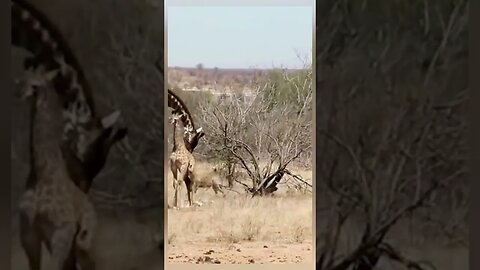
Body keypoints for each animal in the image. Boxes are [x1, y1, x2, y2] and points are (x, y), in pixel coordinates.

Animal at [16, 67, 96, 270]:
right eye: (22, 79)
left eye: (34, 84)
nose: (18, 93)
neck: (42, 171)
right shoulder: (29, 231)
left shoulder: (61, 232)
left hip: (79, 241)